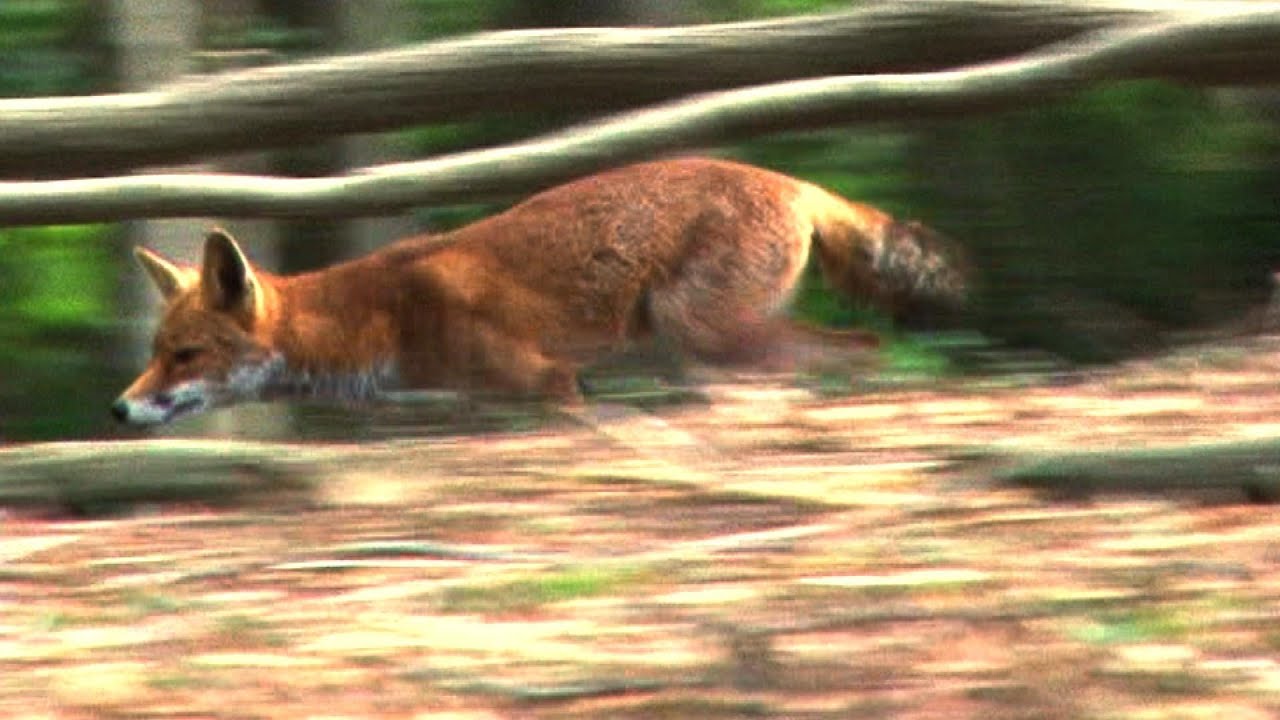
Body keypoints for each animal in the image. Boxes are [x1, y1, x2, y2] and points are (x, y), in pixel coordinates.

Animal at [111, 157, 967, 426]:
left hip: (703, 330)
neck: (384, 320)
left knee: (859, 351)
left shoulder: (551, 380)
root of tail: (789, 180)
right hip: (699, 341)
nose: (118, 409)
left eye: (185, 355)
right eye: (155, 352)